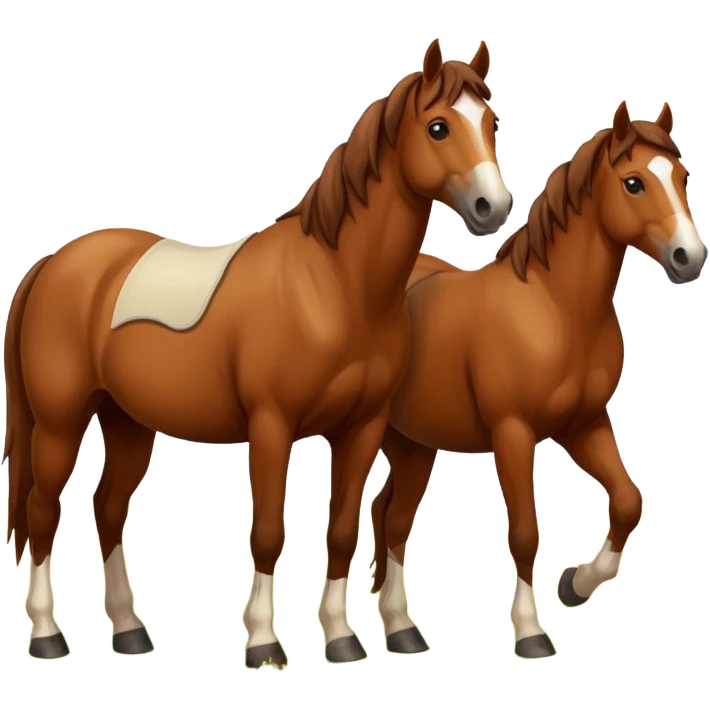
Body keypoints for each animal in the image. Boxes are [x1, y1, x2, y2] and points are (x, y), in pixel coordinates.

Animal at [1, 37, 512, 667]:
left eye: (491, 123)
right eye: (438, 126)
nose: (493, 206)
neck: (334, 285)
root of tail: (50, 264)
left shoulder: (362, 428)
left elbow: (341, 531)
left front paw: (341, 639)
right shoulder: (272, 427)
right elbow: (268, 533)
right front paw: (265, 644)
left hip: (126, 423)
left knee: (108, 509)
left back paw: (127, 630)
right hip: (59, 421)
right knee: (41, 511)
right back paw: (47, 634)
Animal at [368, 98, 707, 661]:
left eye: (681, 177)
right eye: (634, 182)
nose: (690, 258)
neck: (556, 308)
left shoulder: (584, 424)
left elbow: (628, 502)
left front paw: (575, 583)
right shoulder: (513, 433)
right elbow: (526, 531)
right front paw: (530, 632)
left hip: (414, 445)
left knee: (388, 516)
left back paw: (395, 624)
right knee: (388, 517)